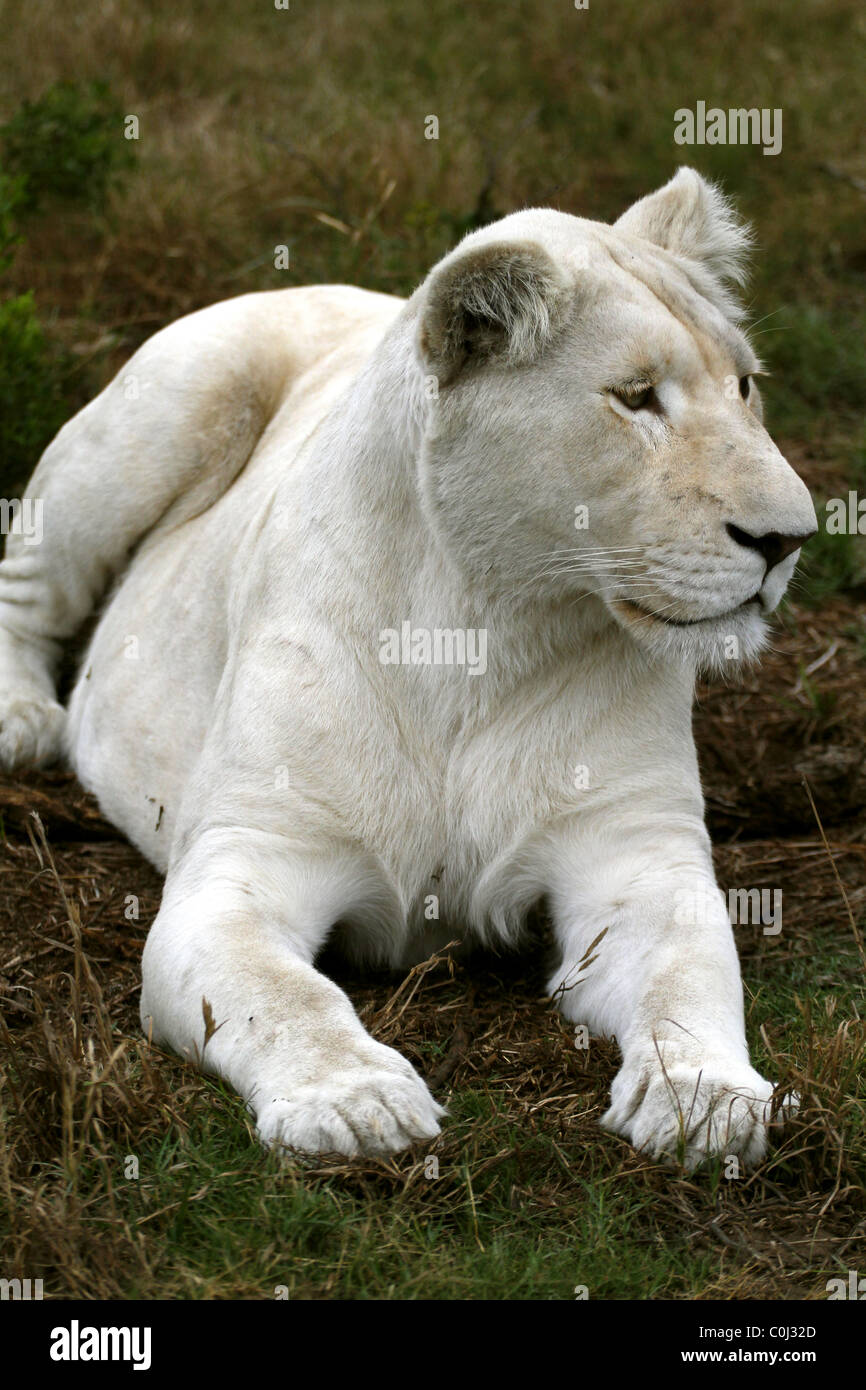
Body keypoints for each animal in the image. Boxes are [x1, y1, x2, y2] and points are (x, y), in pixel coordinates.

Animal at [0, 170, 817, 1173]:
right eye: (635, 398)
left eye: (745, 386)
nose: (789, 539)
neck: (483, 631)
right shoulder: (246, 859)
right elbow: (285, 997)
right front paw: (355, 1104)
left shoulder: (636, 851)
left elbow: (689, 976)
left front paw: (707, 1100)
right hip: (166, 405)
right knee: (29, 585)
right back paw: (21, 722)